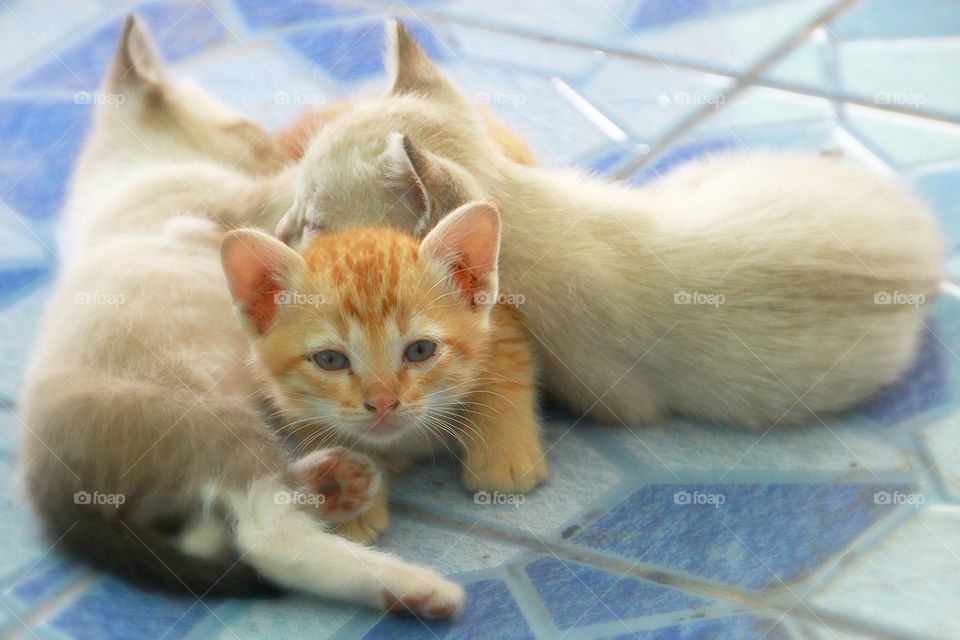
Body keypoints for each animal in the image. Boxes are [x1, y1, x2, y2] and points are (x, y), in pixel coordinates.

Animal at [16, 13, 462, 616]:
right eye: (247, 130)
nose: (266, 145)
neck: (121, 171)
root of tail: (51, 493)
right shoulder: (221, 215)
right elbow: (287, 193)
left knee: (215, 529)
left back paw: (336, 482)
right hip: (208, 419)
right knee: (265, 537)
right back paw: (414, 587)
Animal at [219, 202, 548, 544]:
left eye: (420, 350)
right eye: (330, 359)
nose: (382, 403)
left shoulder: (504, 317)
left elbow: (507, 365)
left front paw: (504, 455)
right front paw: (343, 491)